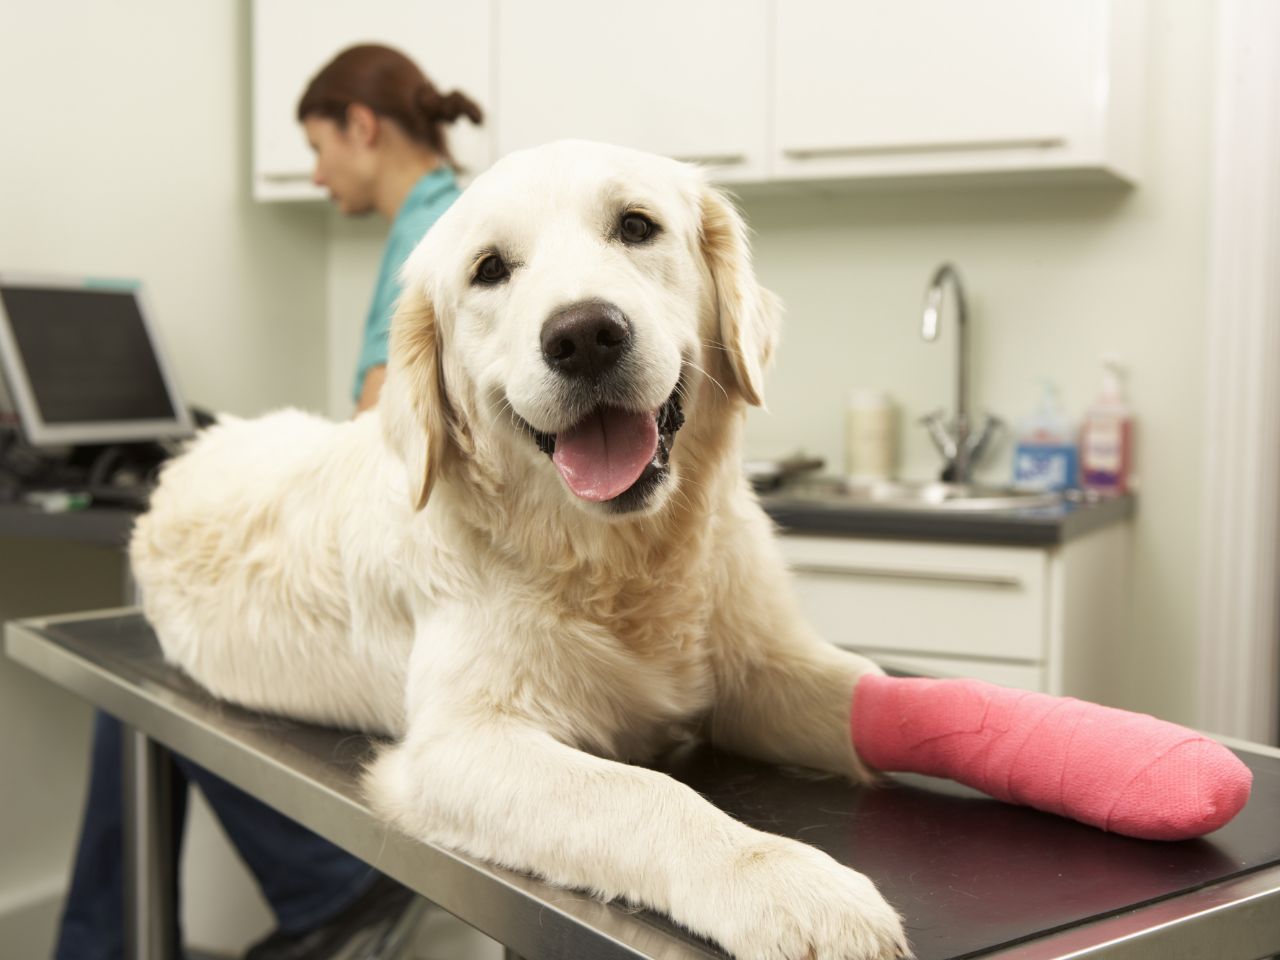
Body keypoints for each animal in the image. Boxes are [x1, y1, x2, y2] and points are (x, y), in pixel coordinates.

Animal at [127, 136, 911, 960]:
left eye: (637, 226)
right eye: (490, 269)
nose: (584, 335)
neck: (618, 559)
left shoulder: (761, 668)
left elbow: (865, 690)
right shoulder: (458, 746)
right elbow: (642, 792)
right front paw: (791, 885)